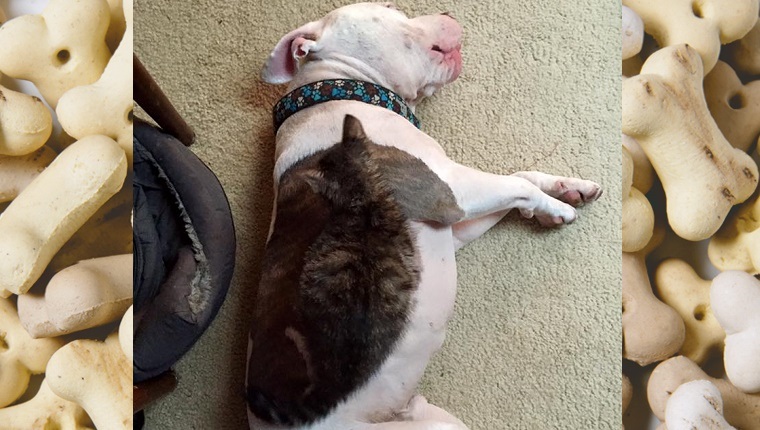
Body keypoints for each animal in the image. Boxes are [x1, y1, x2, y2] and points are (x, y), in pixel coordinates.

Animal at [246, 1, 604, 428]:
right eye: (388, 7)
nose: (448, 13)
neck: (343, 89)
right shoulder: (449, 191)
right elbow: (519, 186)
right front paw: (556, 207)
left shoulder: (455, 218)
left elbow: (520, 179)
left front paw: (567, 188)